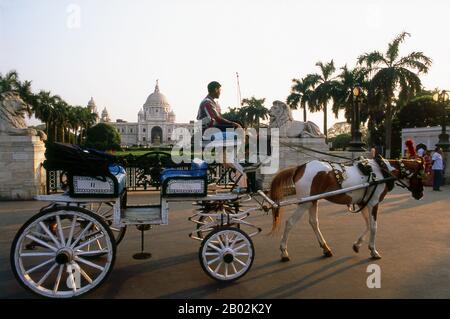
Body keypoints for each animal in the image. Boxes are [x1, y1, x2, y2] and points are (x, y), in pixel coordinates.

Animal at [268, 159, 424, 262]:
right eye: (420, 175)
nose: (420, 194)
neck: (382, 171)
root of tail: (300, 167)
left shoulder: (364, 202)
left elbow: (368, 225)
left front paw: (357, 245)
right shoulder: (373, 203)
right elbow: (374, 227)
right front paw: (373, 250)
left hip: (313, 200)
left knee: (313, 222)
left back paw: (325, 248)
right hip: (304, 202)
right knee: (290, 222)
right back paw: (284, 252)